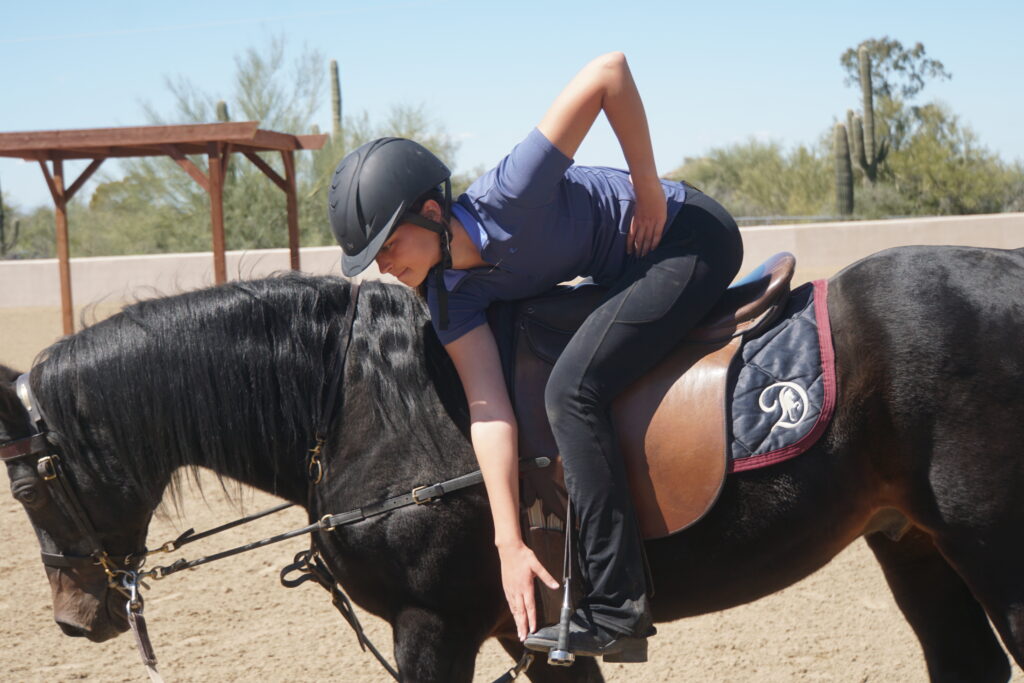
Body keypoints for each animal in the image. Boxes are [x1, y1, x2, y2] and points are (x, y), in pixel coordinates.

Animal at [2, 245, 1024, 683]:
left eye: (37, 484)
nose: (74, 620)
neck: (367, 403)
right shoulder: (518, 630)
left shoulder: (434, 626)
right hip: (911, 541)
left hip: (989, 547)